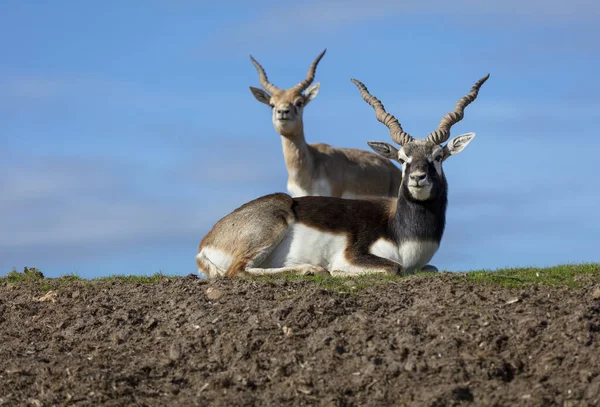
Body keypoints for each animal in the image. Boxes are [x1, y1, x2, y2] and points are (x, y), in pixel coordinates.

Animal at [199, 73, 490, 278]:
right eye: (402, 159)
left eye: (438, 157)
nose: (417, 178)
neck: (403, 230)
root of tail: (207, 240)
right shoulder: (356, 256)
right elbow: (393, 268)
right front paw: (335, 271)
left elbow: (432, 268)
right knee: (236, 271)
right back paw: (313, 269)